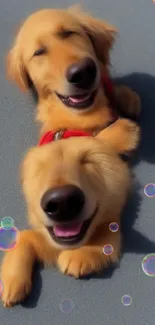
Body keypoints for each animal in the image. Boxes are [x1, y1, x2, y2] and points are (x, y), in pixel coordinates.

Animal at [0, 117, 140, 306]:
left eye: (87, 160)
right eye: (41, 168)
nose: (62, 201)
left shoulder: (111, 224)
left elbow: (106, 239)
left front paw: (79, 256)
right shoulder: (51, 238)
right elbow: (24, 236)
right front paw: (11, 281)